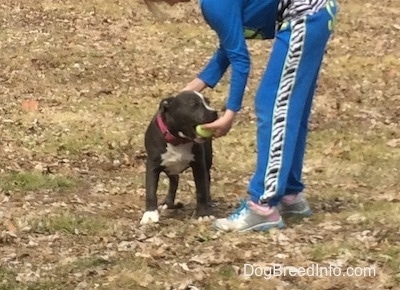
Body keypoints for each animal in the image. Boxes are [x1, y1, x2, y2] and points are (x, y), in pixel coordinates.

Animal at [141, 90, 219, 224]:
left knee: (207, 180)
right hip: (169, 167)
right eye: (193, 104)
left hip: (207, 160)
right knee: (174, 180)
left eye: (208, 102)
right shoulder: (152, 165)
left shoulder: (199, 165)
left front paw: (203, 213)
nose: (215, 112)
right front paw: (150, 214)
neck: (178, 140)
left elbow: (201, 190)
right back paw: (167, 203)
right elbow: (150, 190)